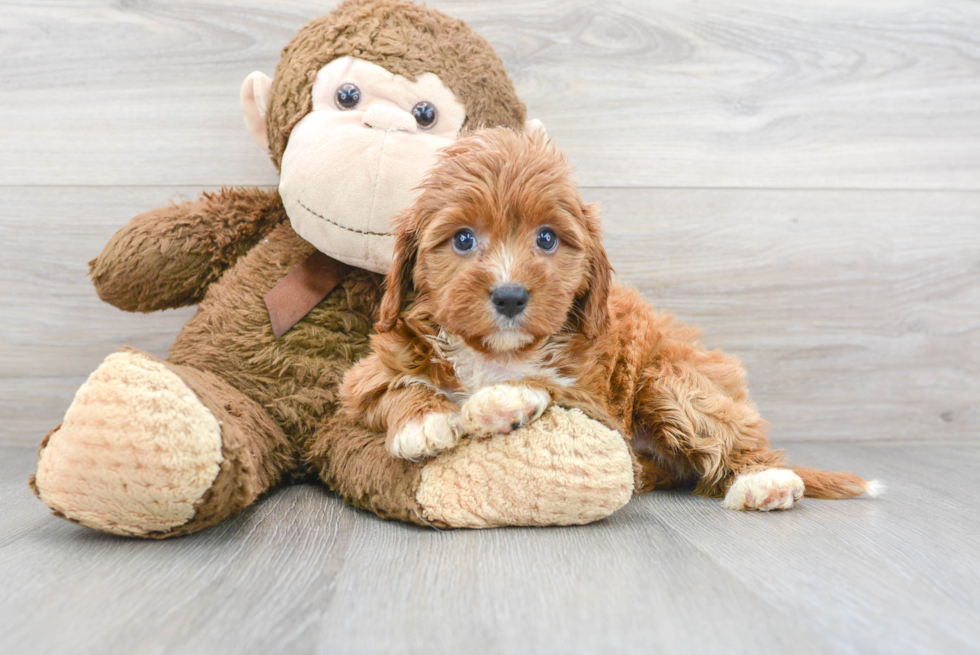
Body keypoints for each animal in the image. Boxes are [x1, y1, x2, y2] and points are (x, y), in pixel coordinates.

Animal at [340, 125, 876, 510]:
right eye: (463, 239)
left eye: (547, 238)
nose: (510, 296)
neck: (495, 352)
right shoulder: (366, 374)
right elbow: (392, 386)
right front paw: (424, 422)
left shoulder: (594, 397)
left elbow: (547, 385)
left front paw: (501, 401)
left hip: (673, 380)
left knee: (728, 435)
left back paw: (763, 479)